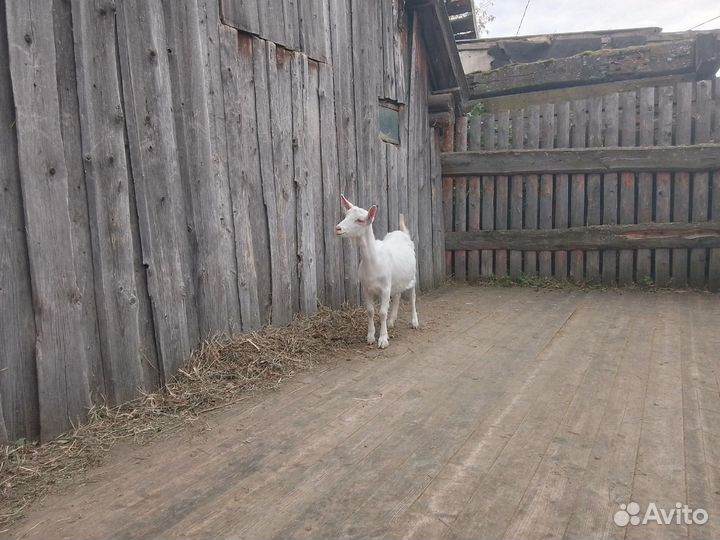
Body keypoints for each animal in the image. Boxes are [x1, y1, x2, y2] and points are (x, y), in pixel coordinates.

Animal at [335, 195, 419, 349]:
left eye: (360, 220)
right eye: (346, 215)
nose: (338, 228)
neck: (374, 262)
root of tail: (402, 233)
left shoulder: (385, 288)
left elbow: (382, 312)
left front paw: (383, 339)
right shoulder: (366, 288)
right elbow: (370, 311)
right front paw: (370, 337)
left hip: (412, 277)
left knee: (412, 297)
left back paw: (414, 322)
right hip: (396, 280)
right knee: (397, 295)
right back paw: (391, 321)